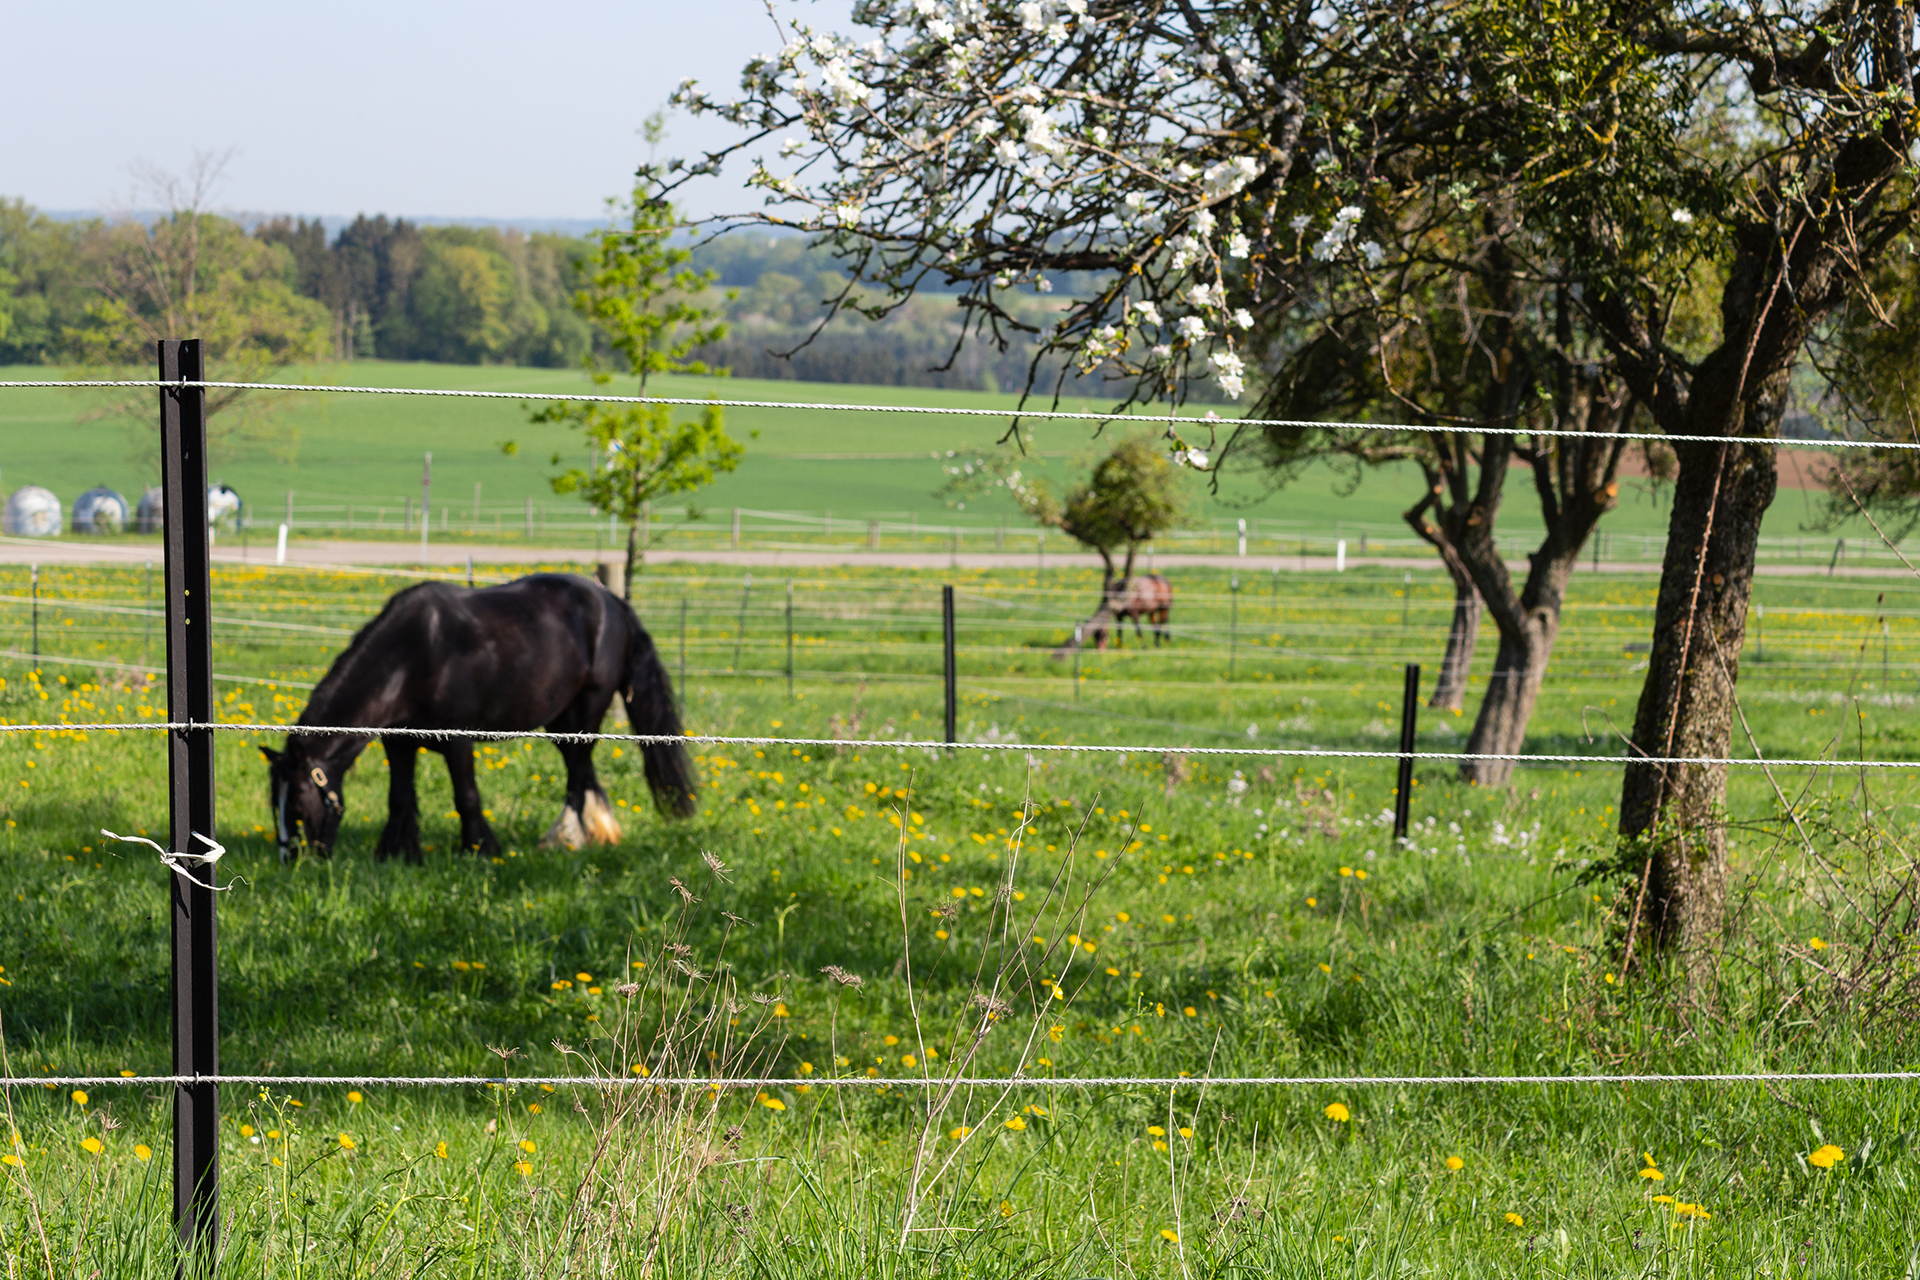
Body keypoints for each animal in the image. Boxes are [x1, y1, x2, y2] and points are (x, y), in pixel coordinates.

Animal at [261, 573, 696, 864]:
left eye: (295, 804)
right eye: (272, 803)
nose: (291, 860)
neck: (414, 655)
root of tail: (610, 600)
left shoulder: (458, 741)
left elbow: (466, 796)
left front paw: (480, 849)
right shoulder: (398, 743)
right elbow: (400, 799)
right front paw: (399, 853)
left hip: (584, 712)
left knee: (577, 775)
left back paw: (566, 838)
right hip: (560, 721)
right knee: (583, 773)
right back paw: (594, 833)